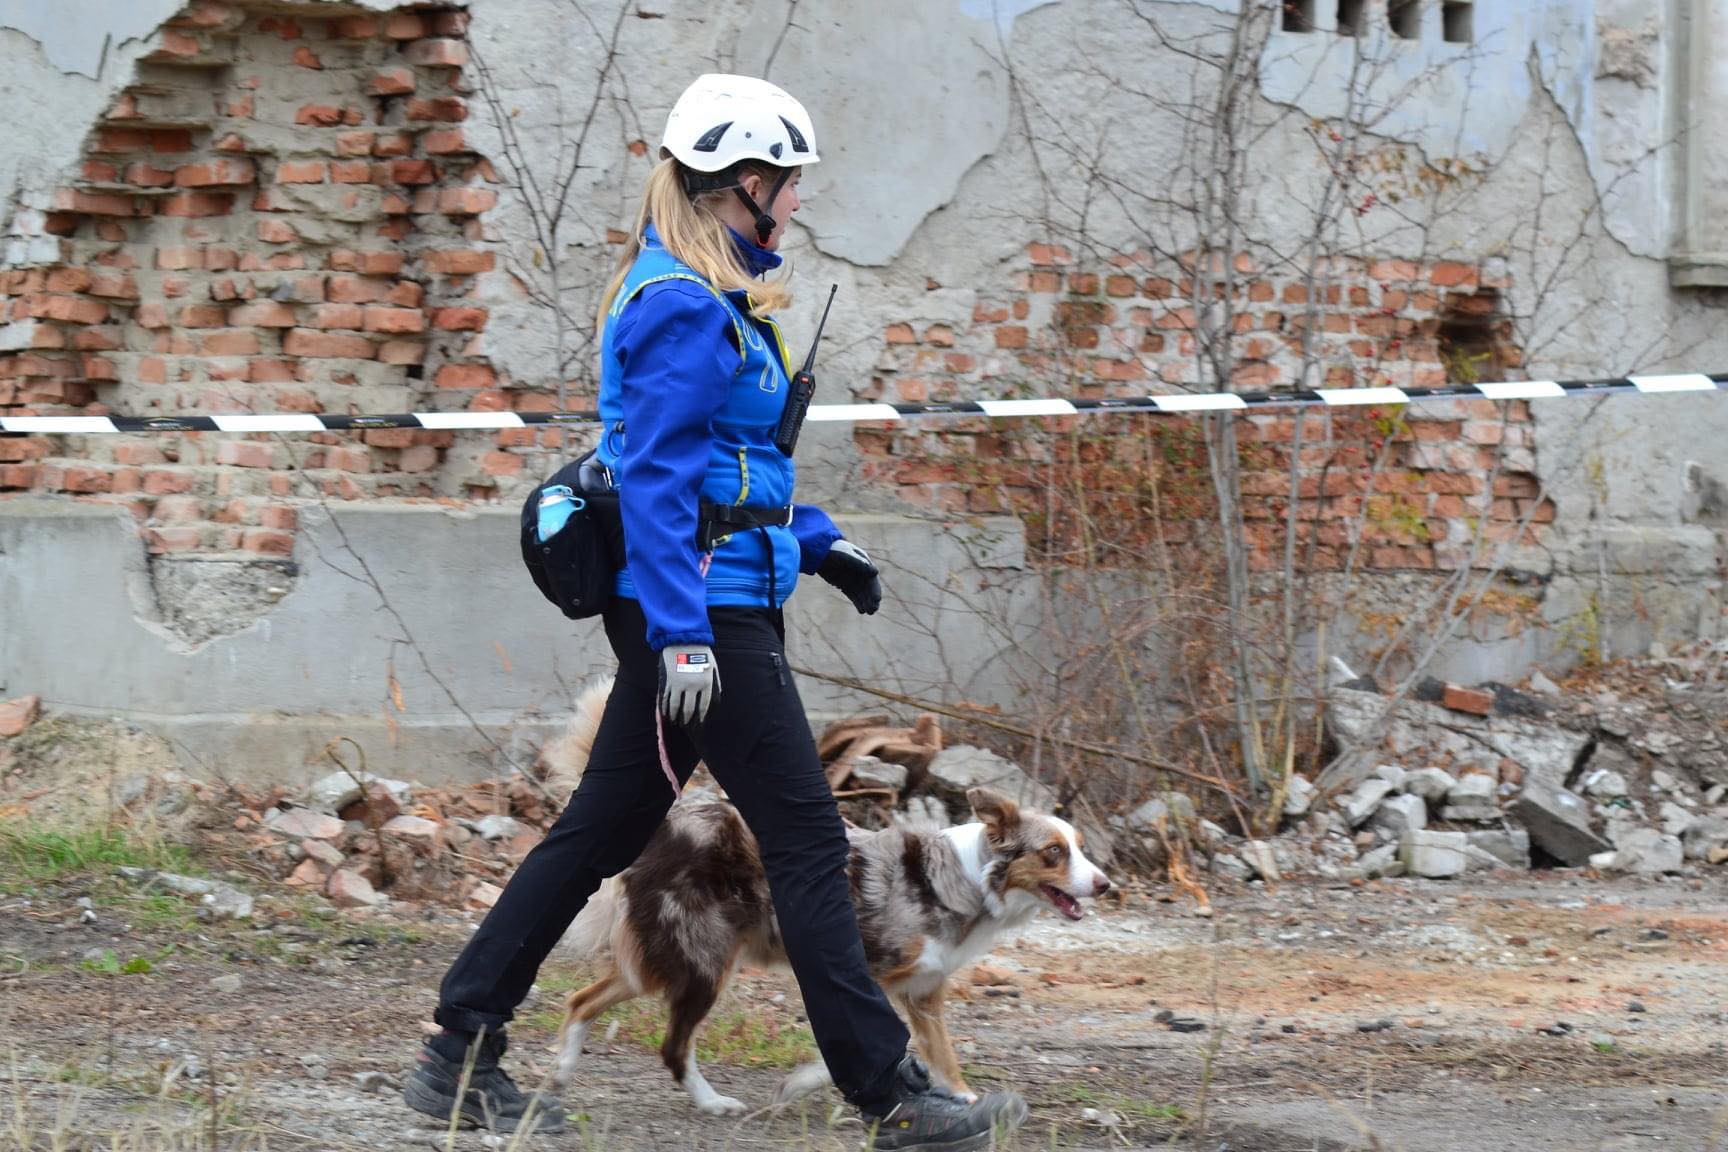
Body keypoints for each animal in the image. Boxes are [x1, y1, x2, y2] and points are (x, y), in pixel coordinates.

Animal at [535, 677, 1119, 1119]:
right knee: (674, 1047)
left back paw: (560, 1070)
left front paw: (966, 1100)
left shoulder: (924, 993)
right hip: (706, 963)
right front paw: (809, 1086)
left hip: (664, 960)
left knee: (582, 999)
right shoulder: (869, 974)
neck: (968, 878)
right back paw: (712, 1102)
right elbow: (872, 1042)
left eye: (1079, 847)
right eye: (1052, 852)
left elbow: (943, 1056)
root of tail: (671, 821)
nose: (1106, 885)